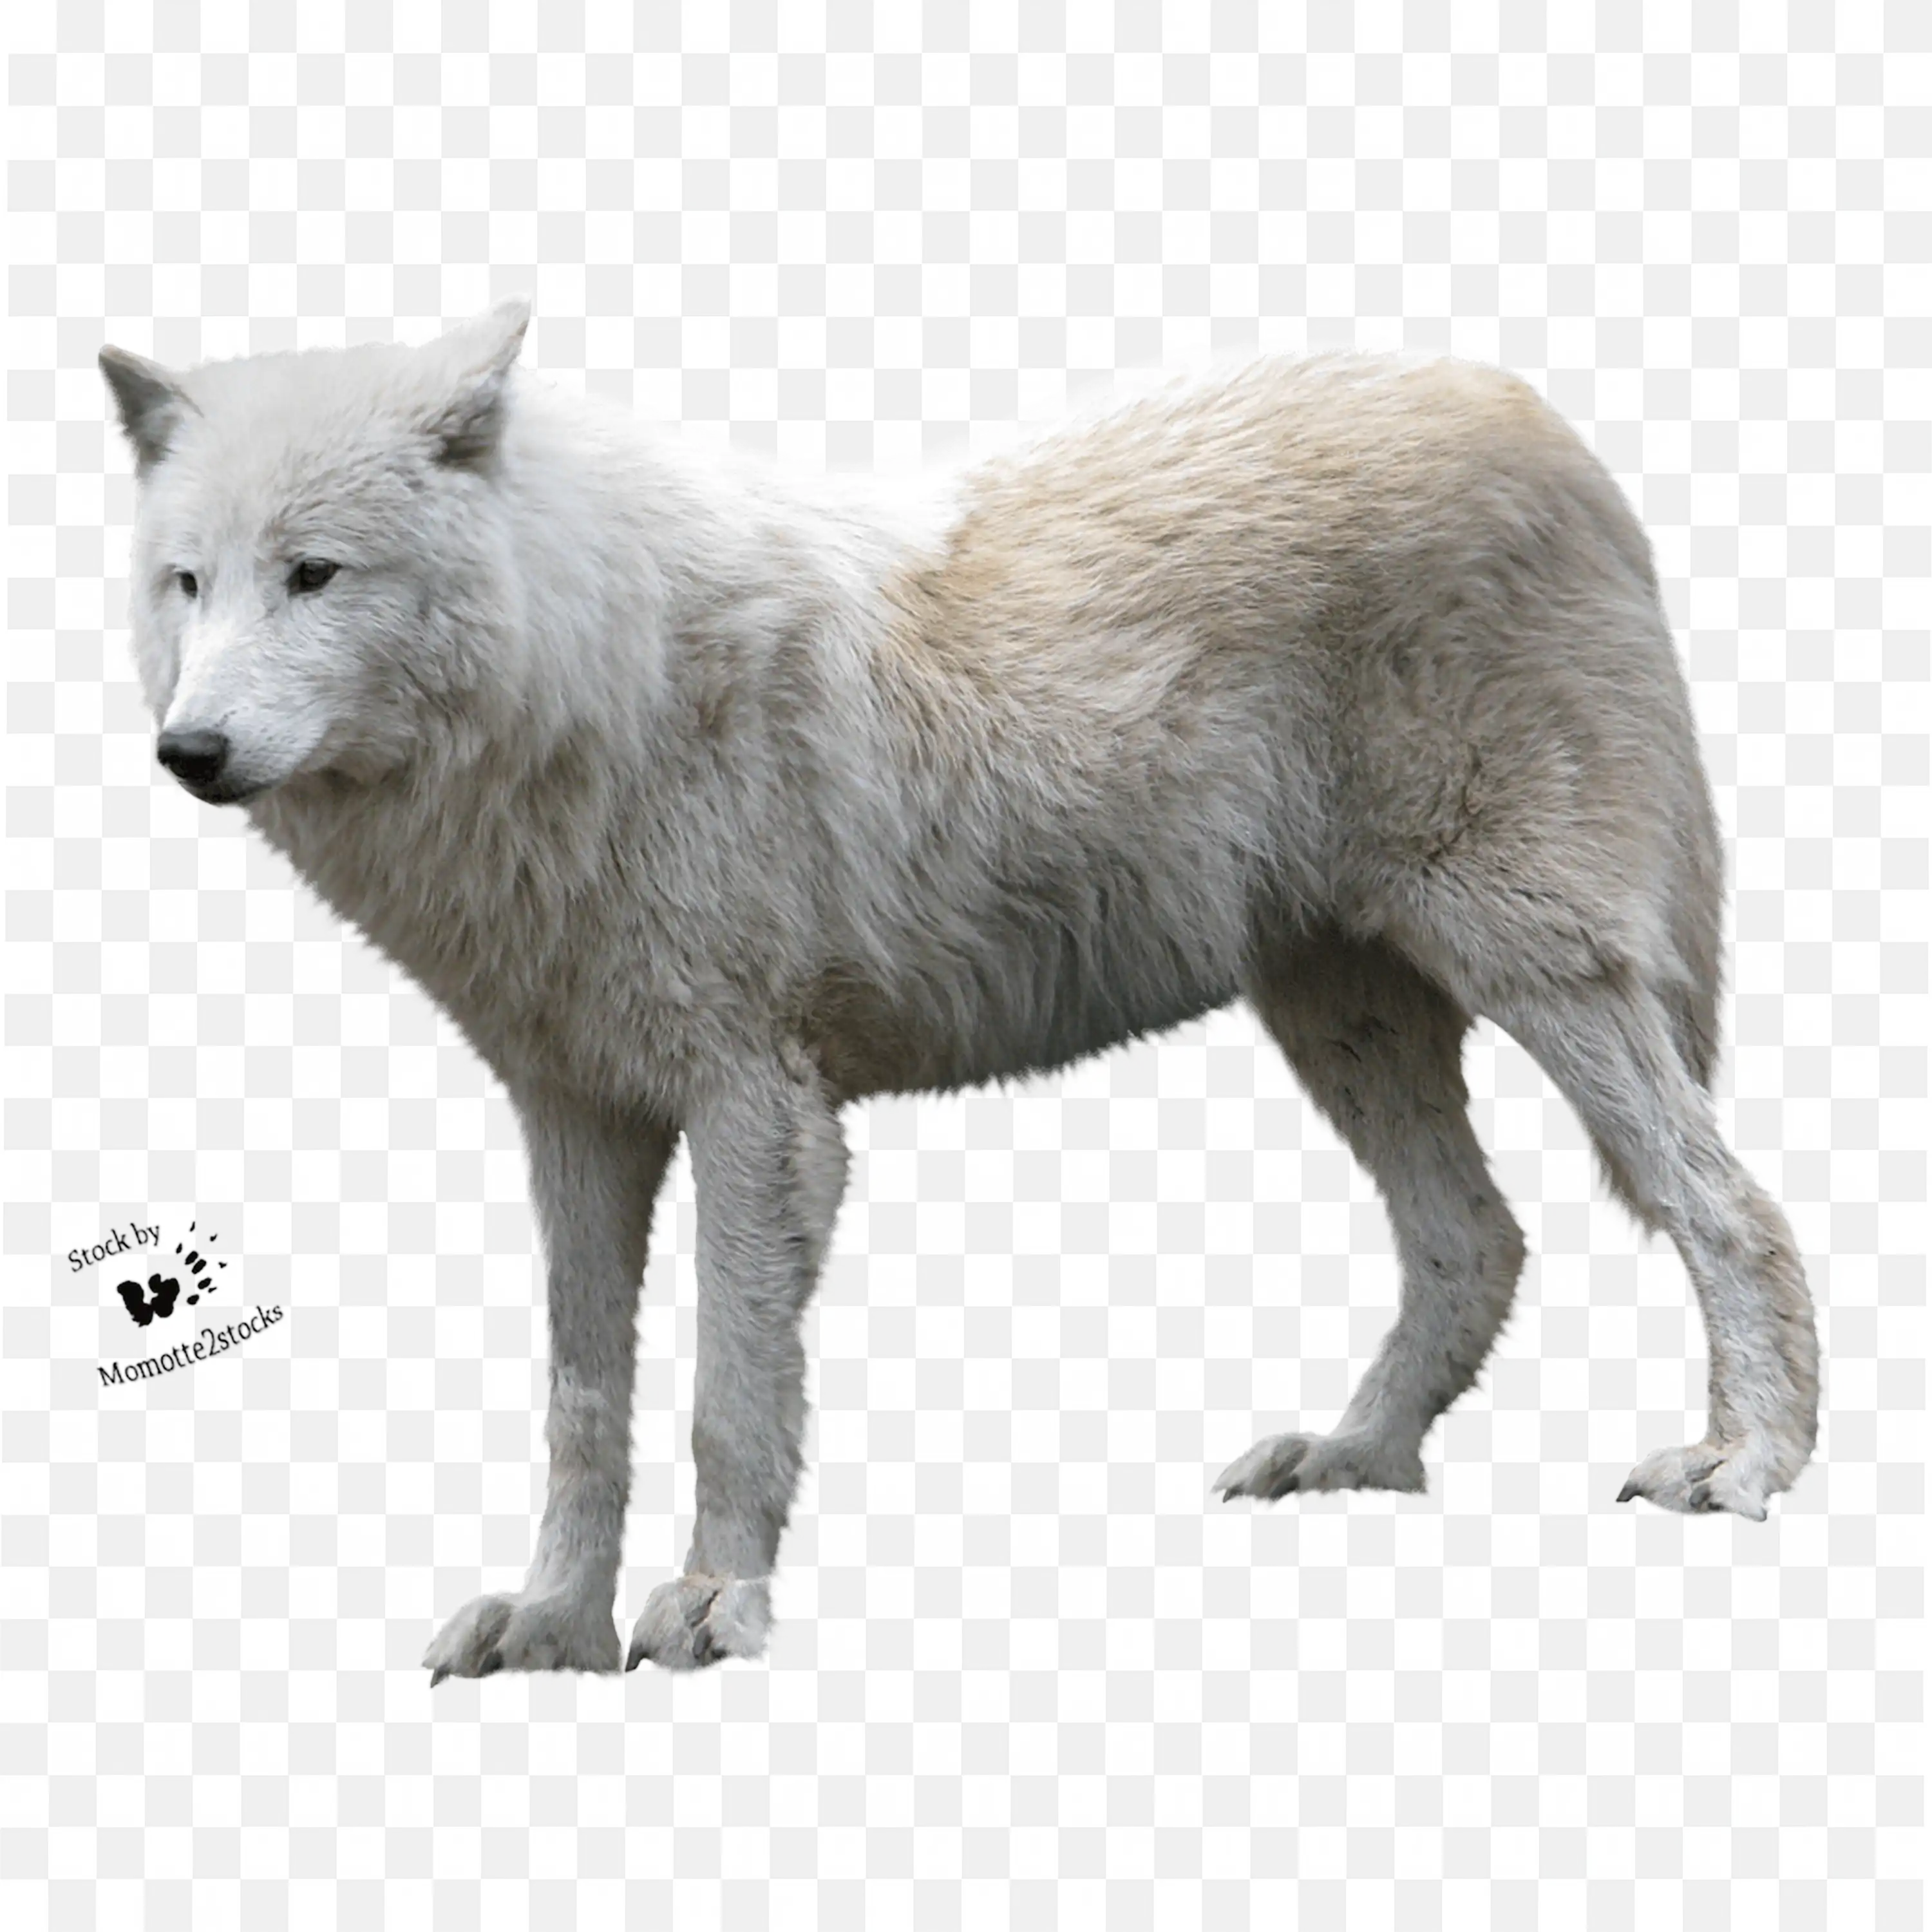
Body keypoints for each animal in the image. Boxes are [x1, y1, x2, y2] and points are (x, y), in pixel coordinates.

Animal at [99, 296, 1820, 1679]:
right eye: (187, 581)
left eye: (315, 574)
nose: (186, 753)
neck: (584, 690)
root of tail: (1532, 412)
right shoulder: (575, 1111)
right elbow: (584, 1408)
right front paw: (551, 1629)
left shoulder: (753, 1101)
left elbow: (729, 1393)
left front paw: (713, 1611)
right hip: (1334, 1006)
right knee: (1477, 1237)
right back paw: (1354, 1454)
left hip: (1534, 965)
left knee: (1728, 1208)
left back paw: (1744, 1467)